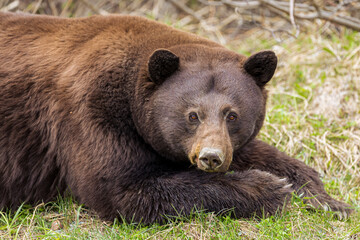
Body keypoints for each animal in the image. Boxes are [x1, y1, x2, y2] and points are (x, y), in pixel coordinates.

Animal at [0, 12, 354, 224]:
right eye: (192, 115)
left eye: (232, 115)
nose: (211, 157)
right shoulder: (89, 107)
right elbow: (120, 187)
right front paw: (268, 188)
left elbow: (264, 154)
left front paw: (328, 199)